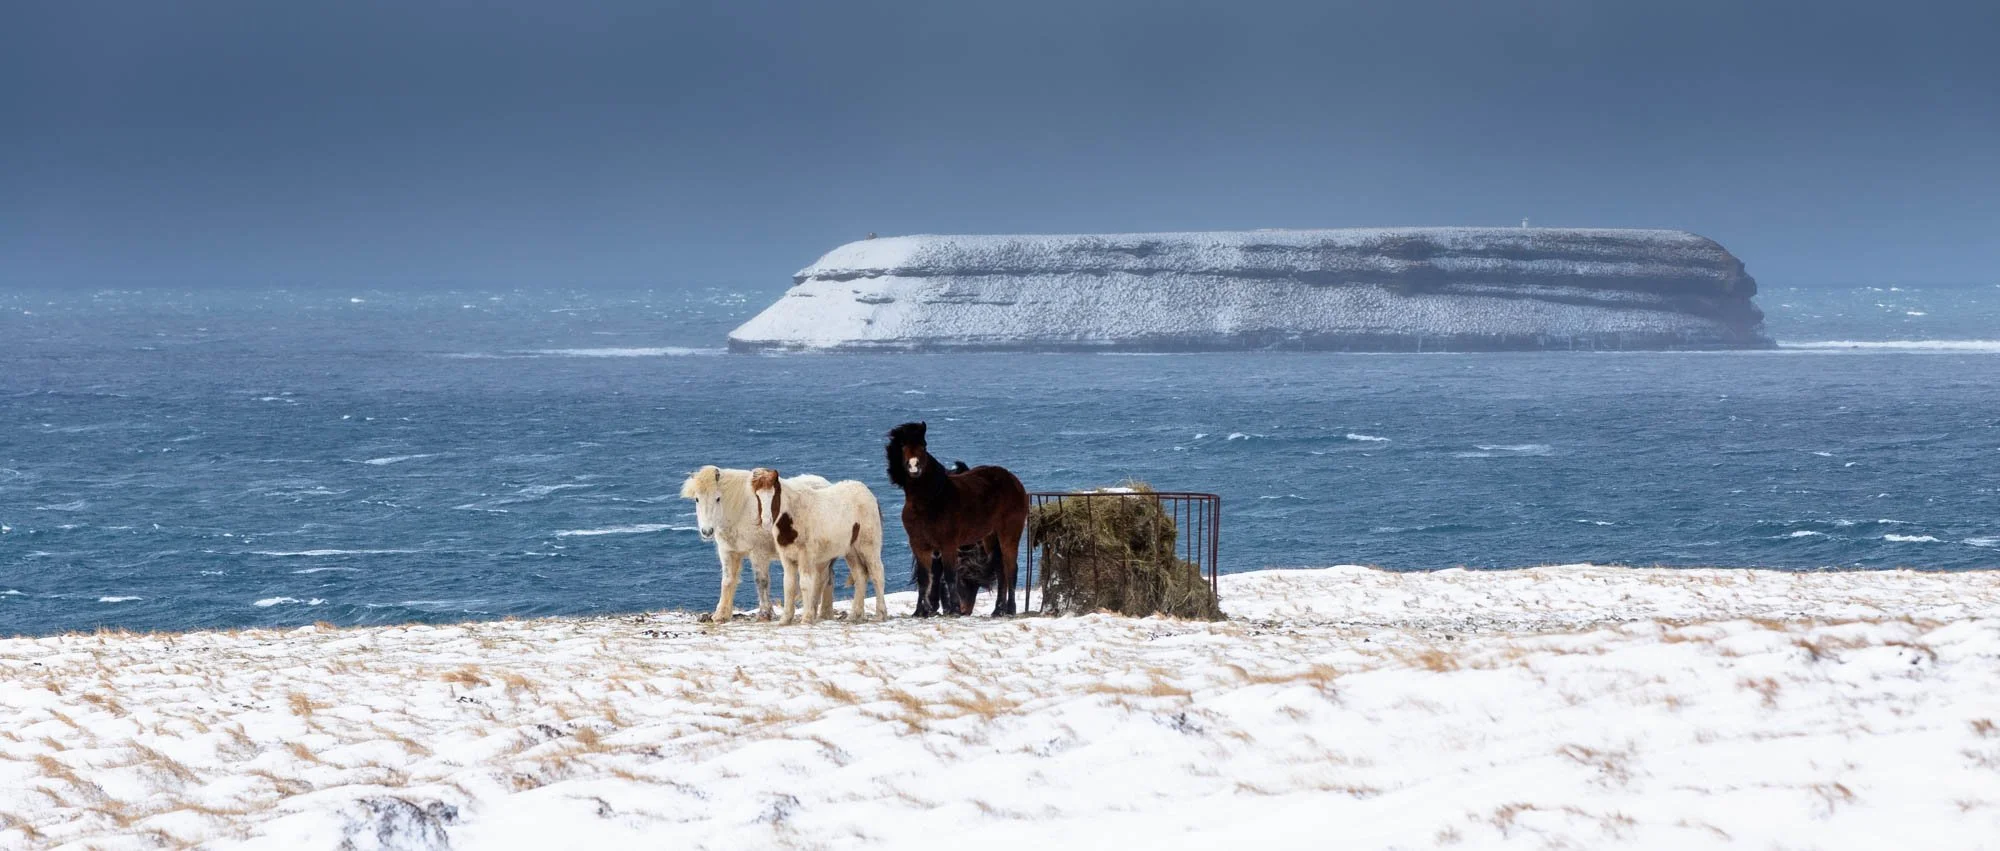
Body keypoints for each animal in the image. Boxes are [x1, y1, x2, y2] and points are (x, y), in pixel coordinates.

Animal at [680, 465, 837, 622]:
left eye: (717, 498)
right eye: (697, 499)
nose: (707, 531)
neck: (740, 511)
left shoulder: (758, 552)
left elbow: (761, 581)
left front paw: (765, 614)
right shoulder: (727, 551)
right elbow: (727, 580)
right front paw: (721, 615)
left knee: (823, 578)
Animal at [747, 468, 889, 625]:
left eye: (775, 494)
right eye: (757, 496)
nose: (766, 522)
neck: (792, 516)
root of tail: (869, 494)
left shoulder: (806, 557)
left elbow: (805, 583)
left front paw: (806, 618)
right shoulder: (787, 558)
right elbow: (789, 585)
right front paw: (785, 620)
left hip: (869, 546)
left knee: (877, 574)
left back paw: (881, 615)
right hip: (851, 551)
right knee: (860, 575)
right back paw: (854, 616)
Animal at [884, 422, 1029, 616]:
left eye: (924, 445)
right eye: (902, 445)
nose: (914, 467)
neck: (930, 499)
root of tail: (1014, 481)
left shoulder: (948, 544)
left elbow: (950, 576)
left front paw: (953, 610)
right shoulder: (919, 545)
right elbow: (925, 578)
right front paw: (920, 611)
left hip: (1009, 534)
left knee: (1011, 569)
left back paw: (1010, 609)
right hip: (990, 538)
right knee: (1001, 571)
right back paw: (998, 610)